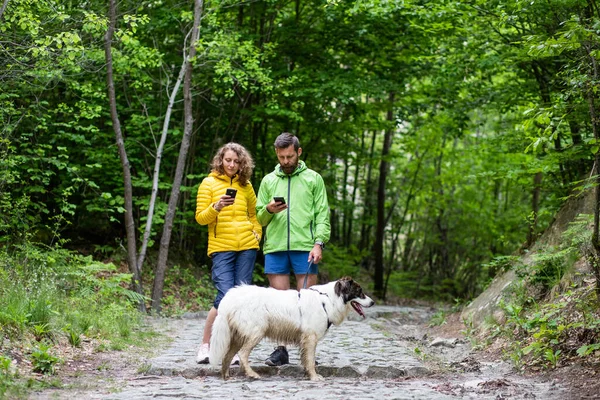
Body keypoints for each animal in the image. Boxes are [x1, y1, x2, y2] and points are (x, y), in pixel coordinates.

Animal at [209, 276, 372, 380]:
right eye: (359, 292)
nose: (373, 302)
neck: (328, 300)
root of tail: (230, 298)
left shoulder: (306, 340)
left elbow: (306, 359)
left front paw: (308, 375)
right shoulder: (310, 338)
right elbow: (310, 360)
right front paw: (314, 377)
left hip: (238, 336)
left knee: (227, 356)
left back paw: (226, 377)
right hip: (256, 332)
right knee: (242, 354)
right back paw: (252, 374)